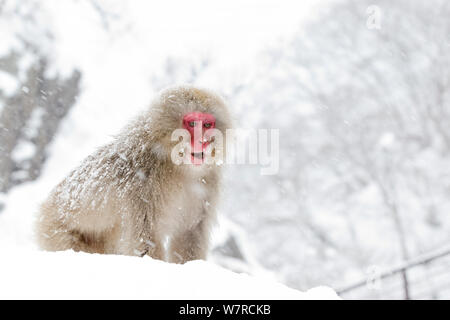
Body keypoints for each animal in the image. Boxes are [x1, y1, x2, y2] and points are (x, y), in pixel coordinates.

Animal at [35, 85, 232, 262]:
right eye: (192, 123)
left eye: (207, 124)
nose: (203, 140)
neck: (176, 165)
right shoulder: (142, 182)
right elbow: (145, 241)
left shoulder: (208, 181)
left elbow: (189, 234)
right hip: (55, 232)